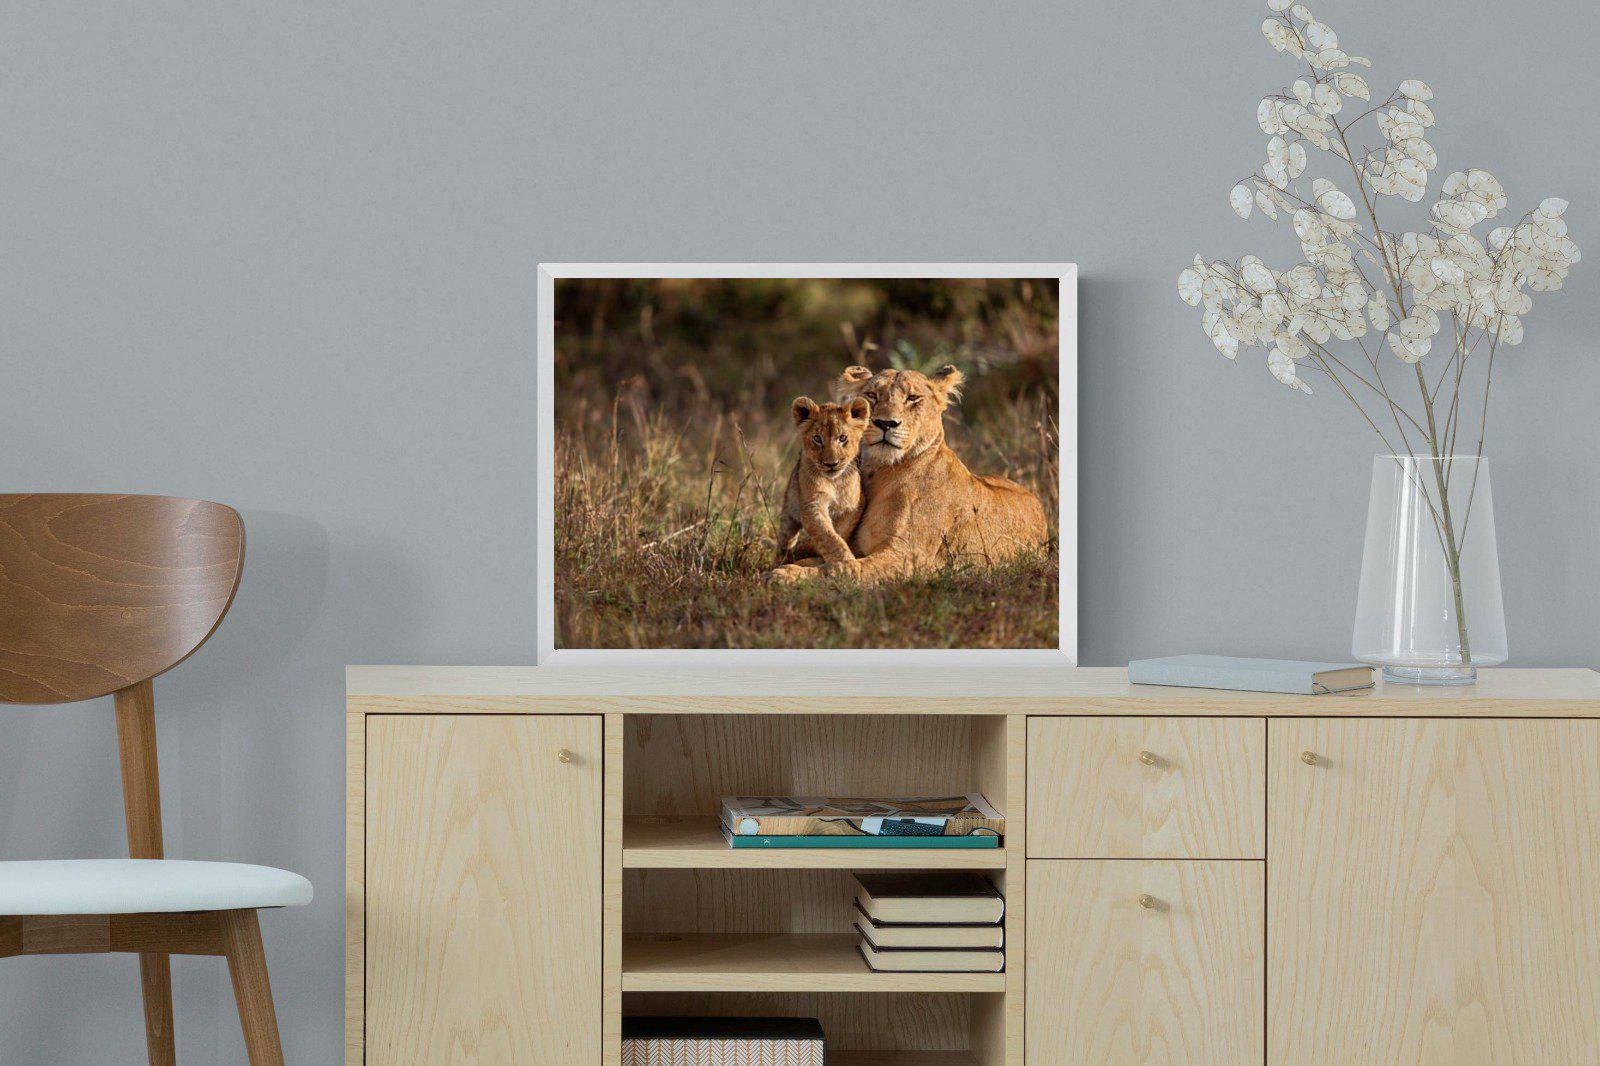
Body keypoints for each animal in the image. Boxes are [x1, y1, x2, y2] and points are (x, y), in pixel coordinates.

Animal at [774, 395, 871, 567]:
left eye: (843, 438)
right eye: (817, 438)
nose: (831, 464)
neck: (835, 482)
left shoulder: (855, 505)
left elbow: (839, 531)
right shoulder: (812, 504)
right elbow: (828, 536)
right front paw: (846, 564)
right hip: (789, 512)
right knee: (785, 541)